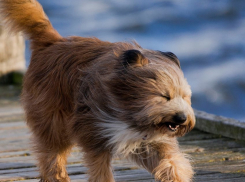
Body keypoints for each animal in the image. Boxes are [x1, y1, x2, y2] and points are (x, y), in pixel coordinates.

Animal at [0, 0, 195, 181]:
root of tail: (53, 42)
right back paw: (57, 176)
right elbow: (100, 169)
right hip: (53, 121)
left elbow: (170, 161)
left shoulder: (149, 140)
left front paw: (176, 176)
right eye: (164, 96)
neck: (128, 111)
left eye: (185, 97)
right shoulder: (95, 133)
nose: (181, 118)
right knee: (51, 153)